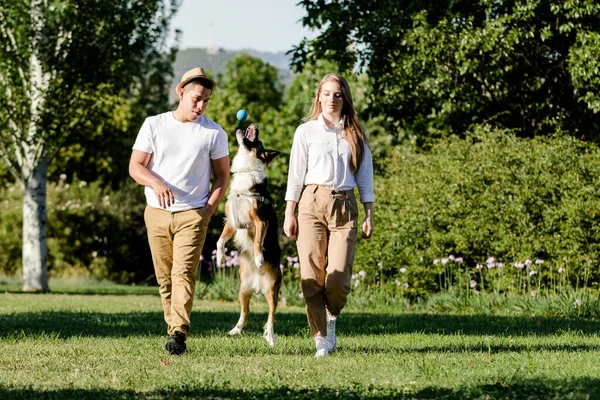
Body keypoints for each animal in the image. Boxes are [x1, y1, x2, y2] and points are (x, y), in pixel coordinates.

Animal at [216, 123, 282, 346]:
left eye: (258, 141)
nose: (254, 125)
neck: (246, 171)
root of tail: (257, 282)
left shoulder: (260, 220)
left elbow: (257, 242)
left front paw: (259, 257)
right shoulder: (232, 222)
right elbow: (220, 241)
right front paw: (220, 259)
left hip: (273, 290)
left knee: (271, 316)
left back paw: (271, 337)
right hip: (242, 290)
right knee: (246, 311)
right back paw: (235, 330)